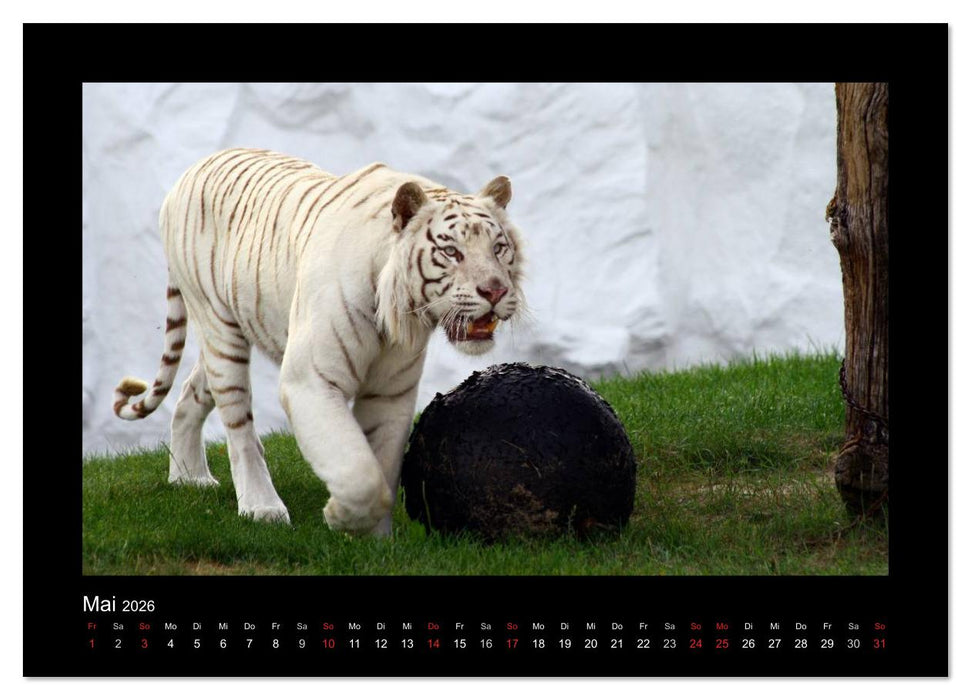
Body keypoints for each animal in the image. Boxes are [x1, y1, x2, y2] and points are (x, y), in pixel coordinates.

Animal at [112, 147, 525, 536]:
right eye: (451, 251)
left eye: (498, 248)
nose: (495, 290)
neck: (396, 313)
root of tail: (195, 167)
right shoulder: (310, 381)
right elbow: (360, 472)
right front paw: (341, 516)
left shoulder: (390, 392)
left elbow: (382, 465)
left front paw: (375, 539)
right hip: (220, 328)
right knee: (239, 425)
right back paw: (261, 507)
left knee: (190, 394)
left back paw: (189, 478)